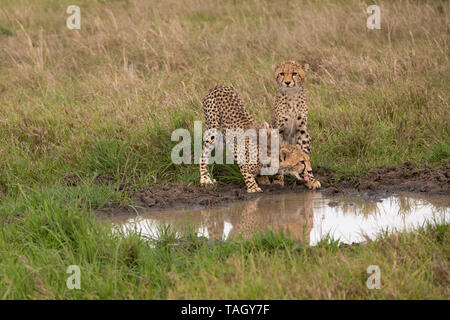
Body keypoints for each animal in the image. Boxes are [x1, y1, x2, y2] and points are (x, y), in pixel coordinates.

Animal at [270, 61, 320, 189]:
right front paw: (278, 180)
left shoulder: (302, 131)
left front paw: (310, 180)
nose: (287, 82)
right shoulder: (278, 130)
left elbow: (304, 154)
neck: (291, 95)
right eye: (282, 73)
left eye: (294, 73)